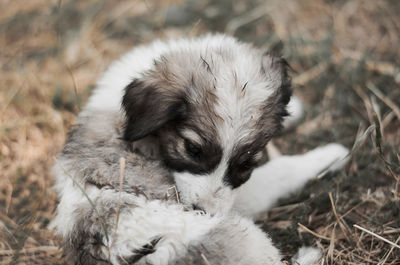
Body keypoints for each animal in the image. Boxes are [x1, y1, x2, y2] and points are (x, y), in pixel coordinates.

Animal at [51, 35, 348, 264]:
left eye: (246, 164)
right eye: (193, 149)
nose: (203, 212)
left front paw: (294, 108)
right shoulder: (245, 197)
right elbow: (281, 170)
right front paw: (329, 155)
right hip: (244, 235)